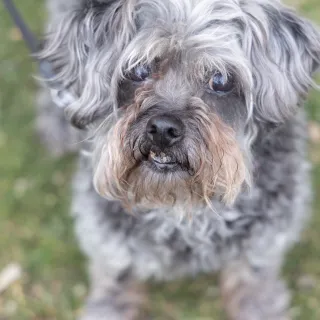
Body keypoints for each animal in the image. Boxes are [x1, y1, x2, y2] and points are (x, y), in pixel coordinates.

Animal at [36, 0, 320, 318]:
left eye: (220, 80)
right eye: (139, 69)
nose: (163, 129)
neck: (185, 208)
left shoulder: (264, 239)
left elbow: (253, 278)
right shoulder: (107, 237)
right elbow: (116, 274)